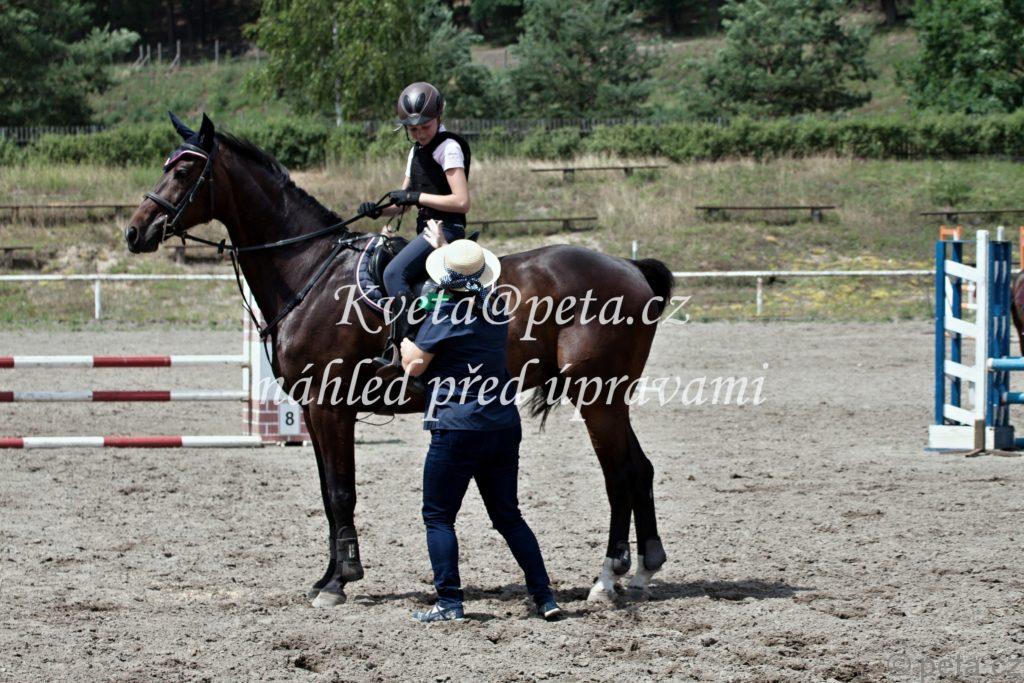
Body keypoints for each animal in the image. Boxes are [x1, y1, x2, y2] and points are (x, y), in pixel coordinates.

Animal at [123, 113, 674, 607]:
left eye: (185, 170)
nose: (135, 231)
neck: (310, 269)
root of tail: (627, 266)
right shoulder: (312, 411)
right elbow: (327, 493)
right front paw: (327, 577)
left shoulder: (331, 405)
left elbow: (341, 492)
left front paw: (340, 580)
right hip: (609, 398)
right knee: (640, 468)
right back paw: (644, 570)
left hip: (597, 397)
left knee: (619, 474)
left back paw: (607, 578)